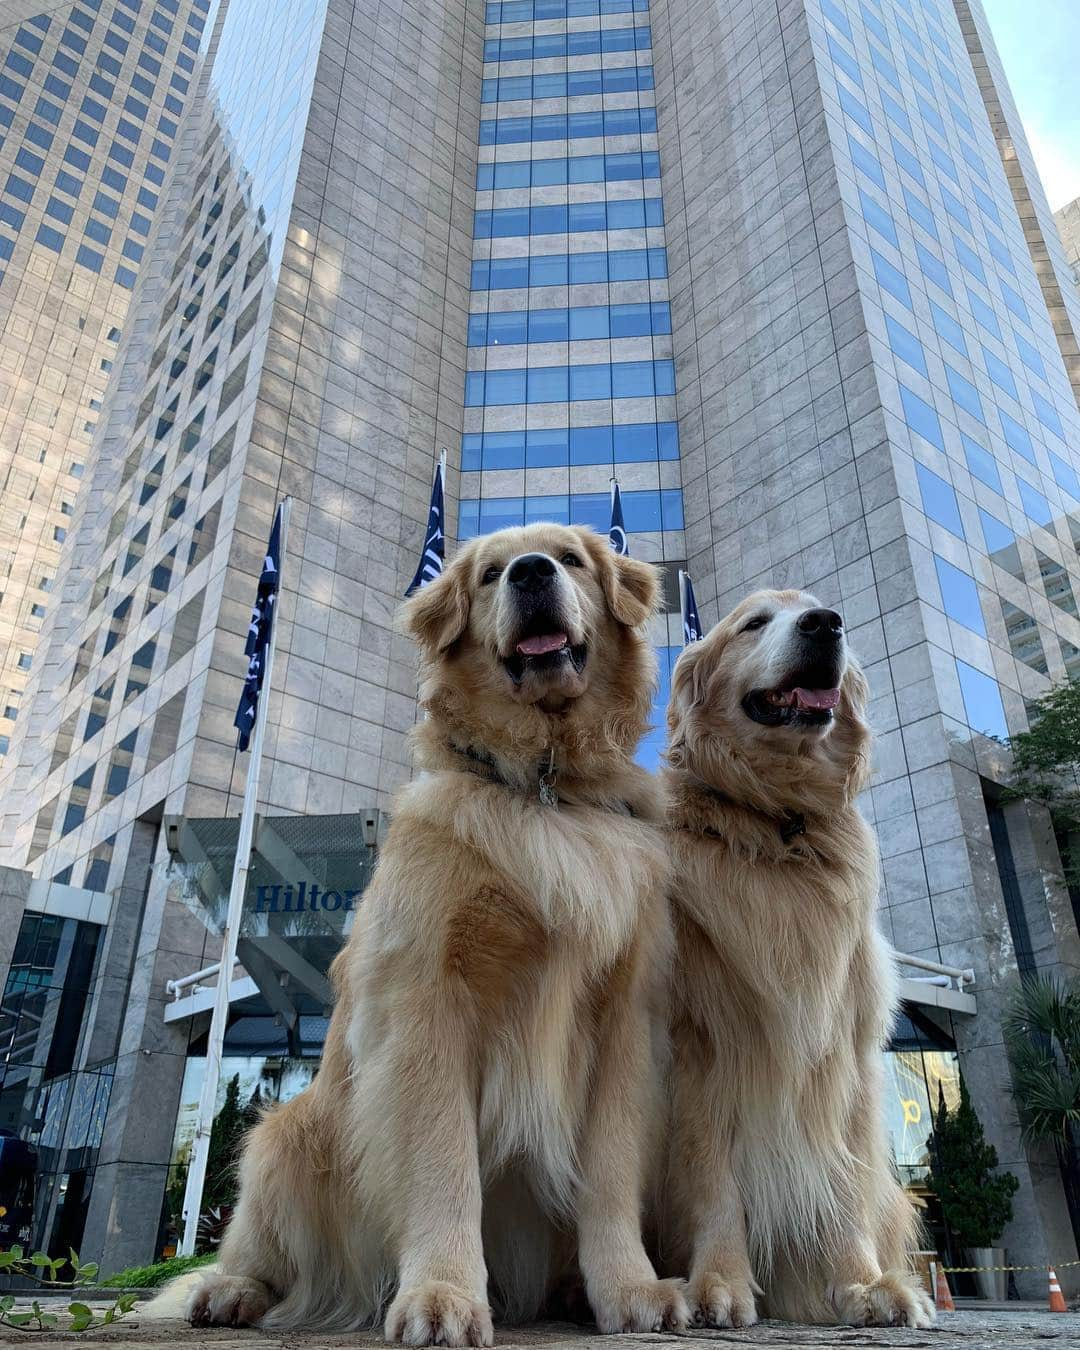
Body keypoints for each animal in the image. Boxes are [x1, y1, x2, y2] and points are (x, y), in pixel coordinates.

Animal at [661, 588, 934, 1328]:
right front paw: (720, 1283)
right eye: (753, 623)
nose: (826, 624)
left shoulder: (846, 1054)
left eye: (817, 608)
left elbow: (843, 1177)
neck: (778, 821)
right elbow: (712, 1180)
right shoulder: (698, 1049)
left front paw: (863, 1284)